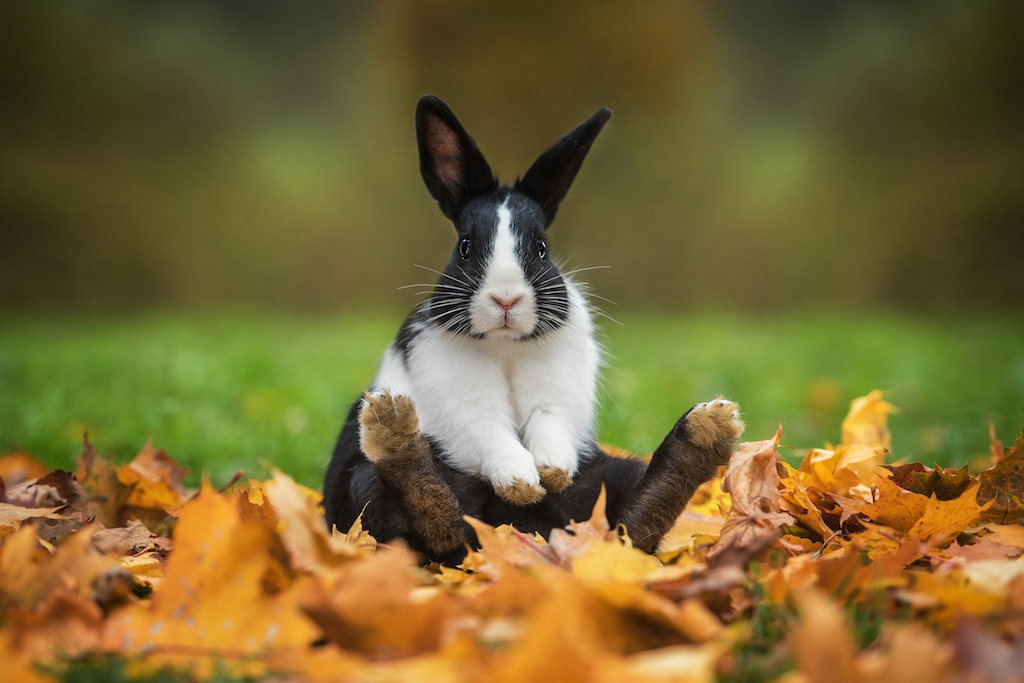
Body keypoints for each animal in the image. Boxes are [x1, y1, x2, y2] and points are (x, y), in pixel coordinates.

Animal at [321, 96, 745, 565]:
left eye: (541, 247)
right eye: (465, 247)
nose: (506, 299)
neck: (506, 345)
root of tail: (531, 533)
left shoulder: (556, 396)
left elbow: (549, 424)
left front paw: (550, 473)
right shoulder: (462, 401)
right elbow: (490, 432)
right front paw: (522, 483)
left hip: (610, 475)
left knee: (631, 528)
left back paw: (705, 432)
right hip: (365, 486)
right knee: (437, 526)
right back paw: (394, 429)